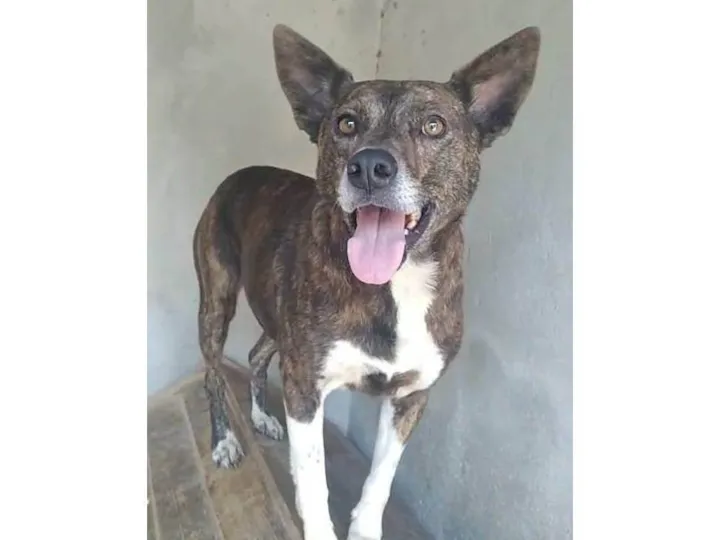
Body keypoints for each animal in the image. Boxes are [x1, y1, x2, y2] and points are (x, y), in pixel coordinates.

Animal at [192, 24, 540, 540]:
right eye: (346, 124)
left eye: (434, 126)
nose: (370, 167)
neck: (395, 287)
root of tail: (238, 174)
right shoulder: (304, 385)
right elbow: (314, 482)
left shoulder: (410, 397)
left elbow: (380, 480)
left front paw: (365, 526)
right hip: (216, 302)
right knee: (213, 373)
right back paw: (225, 440)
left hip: (276, 318)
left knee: (255, 355)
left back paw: (259, 418)